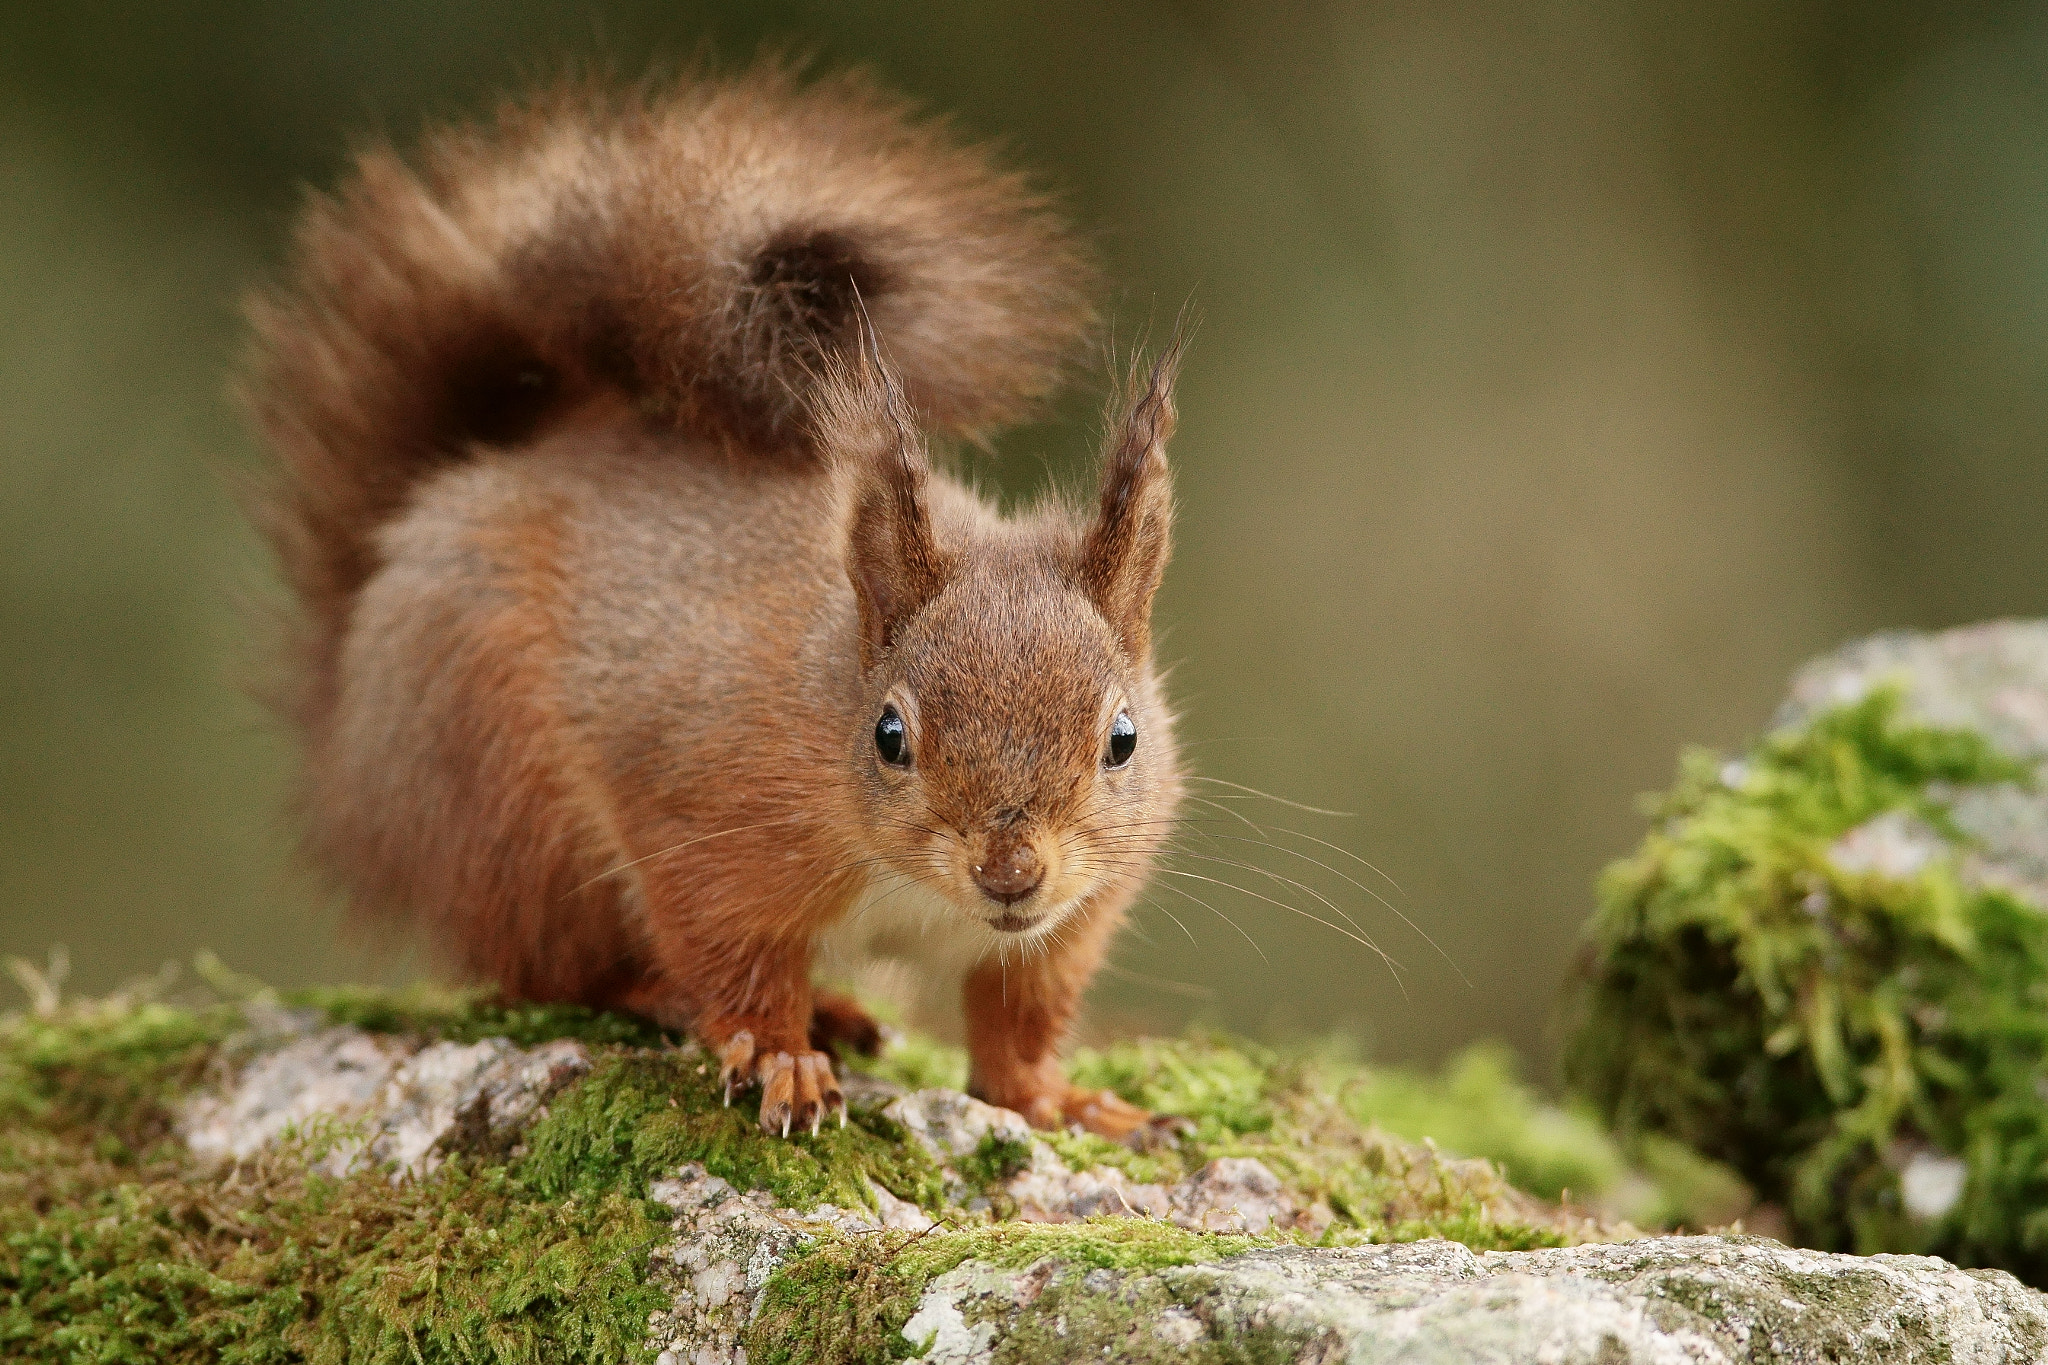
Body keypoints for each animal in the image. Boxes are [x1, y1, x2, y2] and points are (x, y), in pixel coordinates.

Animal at [247, 69, 1196, 1146]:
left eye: (1123, 739)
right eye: (888, 736)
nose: (1010, 873)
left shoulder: (1070, 917)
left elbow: (1017, 1020)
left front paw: (1062, 1099)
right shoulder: (705, 823)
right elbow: (732, 956)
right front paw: (779, 1057)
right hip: (499, 799)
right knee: (543, 965)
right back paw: (669, 995)